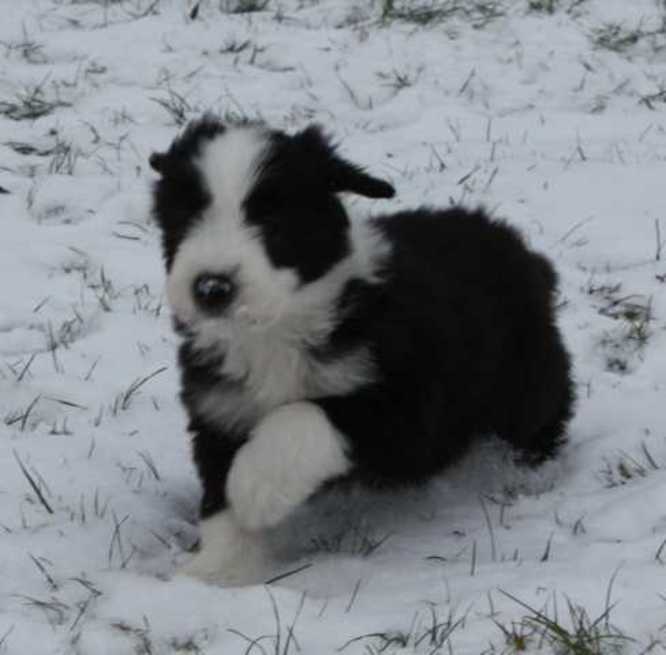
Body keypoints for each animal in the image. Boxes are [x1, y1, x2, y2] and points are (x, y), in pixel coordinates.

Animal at [150, 115, 574, 584]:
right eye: (185, 218)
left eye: (273, 221)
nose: (211, 288)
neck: (276, 330)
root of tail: (519, 248)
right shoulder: (219, 409)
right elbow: (219, 498)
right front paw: (217, 572)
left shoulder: (407, 405)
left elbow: (302, 417)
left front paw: (255, 488)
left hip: (525, 380)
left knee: (544, 417)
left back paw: (527, 475)